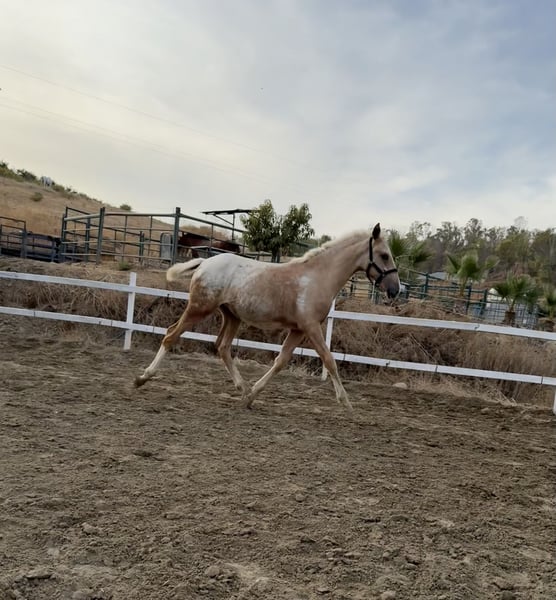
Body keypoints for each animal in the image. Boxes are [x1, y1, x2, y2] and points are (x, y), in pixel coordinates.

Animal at [135, 224, 400, 413]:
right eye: (384, 255)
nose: (395, 290)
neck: (317, 277)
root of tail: (204, 262)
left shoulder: (298, 330)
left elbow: (281, 361)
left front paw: (252, 396)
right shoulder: (311, 327)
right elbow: (329, 360)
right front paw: (346, 403)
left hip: (231, 316)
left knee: (222, 346)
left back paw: (243, 389)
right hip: (199, 308)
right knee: (171, 335)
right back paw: (142, 378)